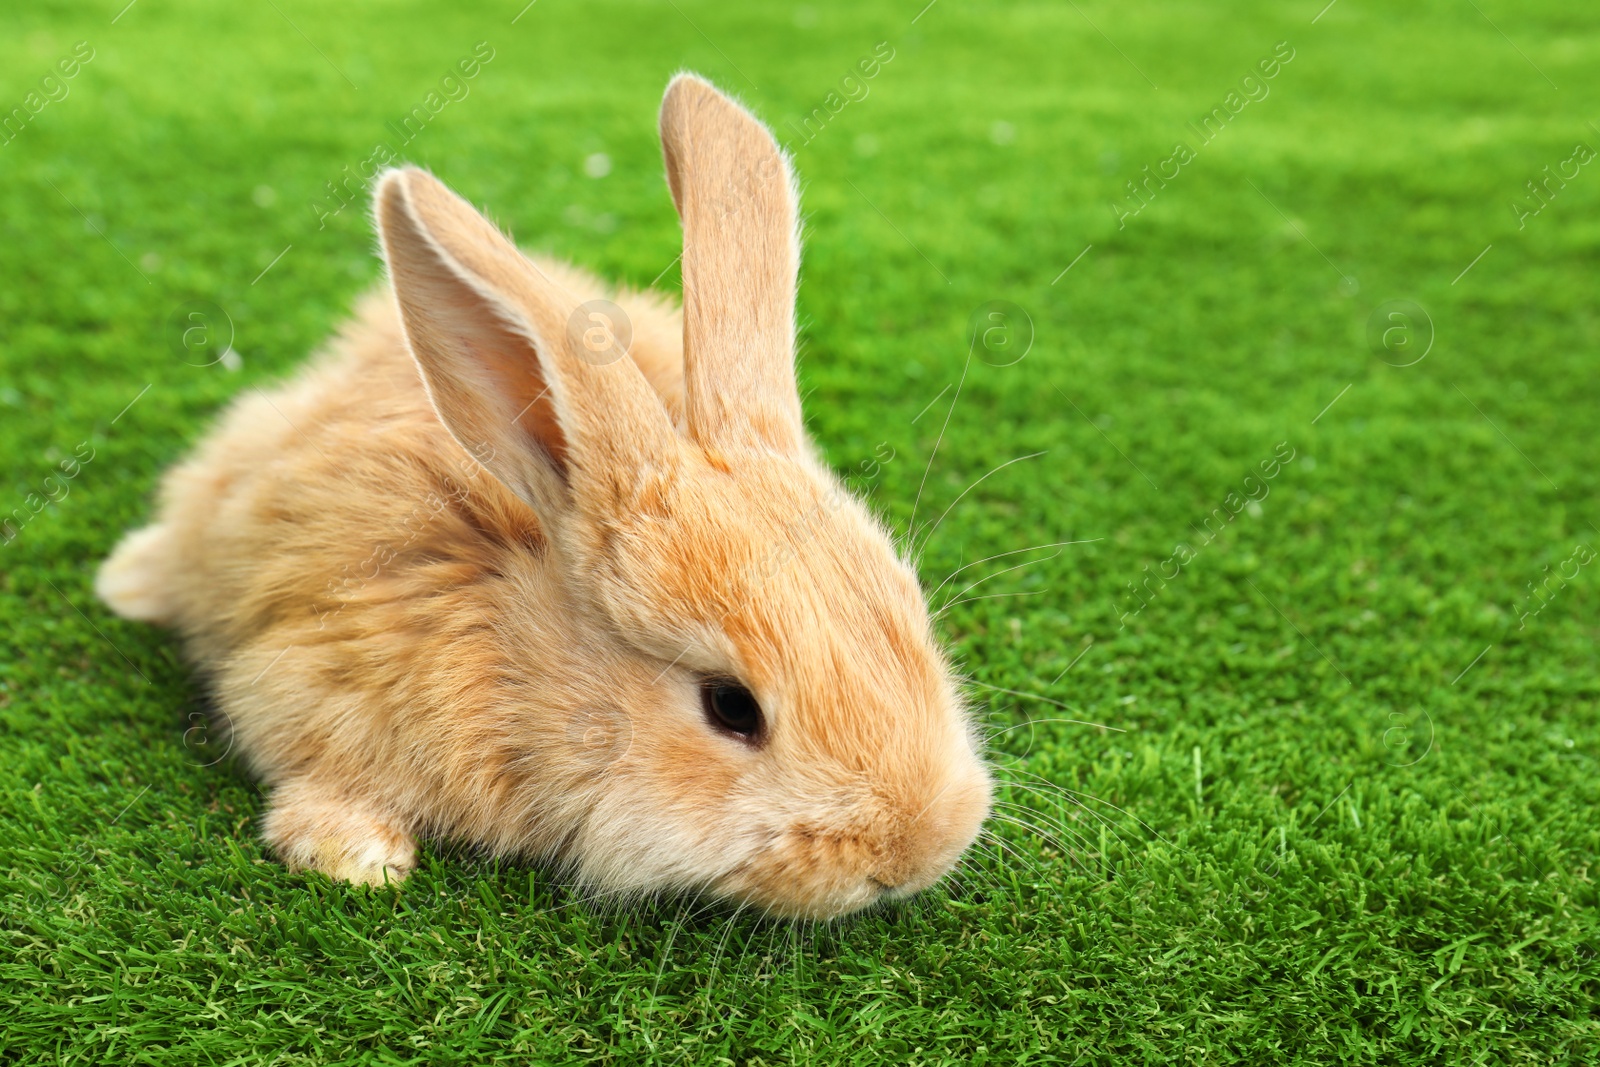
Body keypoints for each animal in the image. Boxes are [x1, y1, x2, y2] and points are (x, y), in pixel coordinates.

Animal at [96, 75, 985, 921]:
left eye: (913, 618)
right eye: (731, 706)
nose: (916, 852)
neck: (515, 647)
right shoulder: (310, 668)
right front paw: (356, 857)